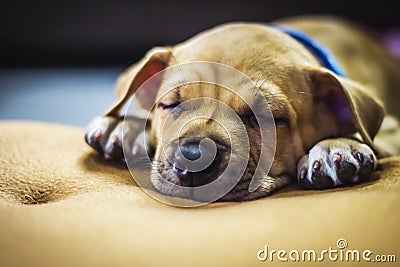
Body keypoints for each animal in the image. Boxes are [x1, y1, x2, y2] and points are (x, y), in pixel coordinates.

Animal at [84, 15, 400, 202]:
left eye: (267, 118)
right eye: (171, 104)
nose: (194, 157)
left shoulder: (390, 124)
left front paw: (334, 145)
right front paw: (122, 125)